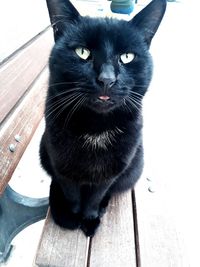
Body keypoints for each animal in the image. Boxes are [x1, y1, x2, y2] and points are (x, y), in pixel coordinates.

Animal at [39, 0, 166, 237]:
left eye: (127, 56)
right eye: (82, 52)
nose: (106, 79)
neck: (95, 128)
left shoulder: (110, 172)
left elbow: (96, 196)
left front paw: (89, 218)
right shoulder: (62, 164)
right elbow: (71, 193)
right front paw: (72, 215)